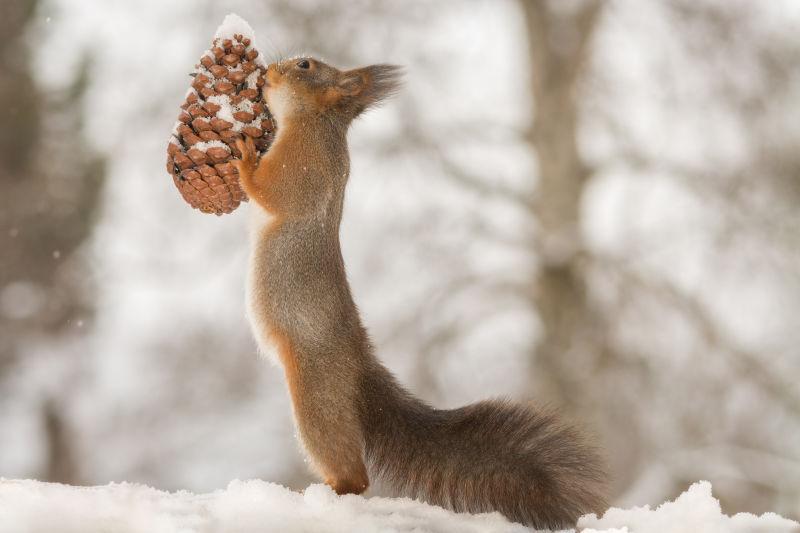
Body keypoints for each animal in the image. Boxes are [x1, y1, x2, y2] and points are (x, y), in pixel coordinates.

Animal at [231, 58, 608, 528]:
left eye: (305, 65)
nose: (268, 71)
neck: (316, 124)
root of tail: (360, 367)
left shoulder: (303, 167)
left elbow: (271, 193)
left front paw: (244, 156)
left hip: (316, 397)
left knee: (352, 472)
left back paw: (324, 494)